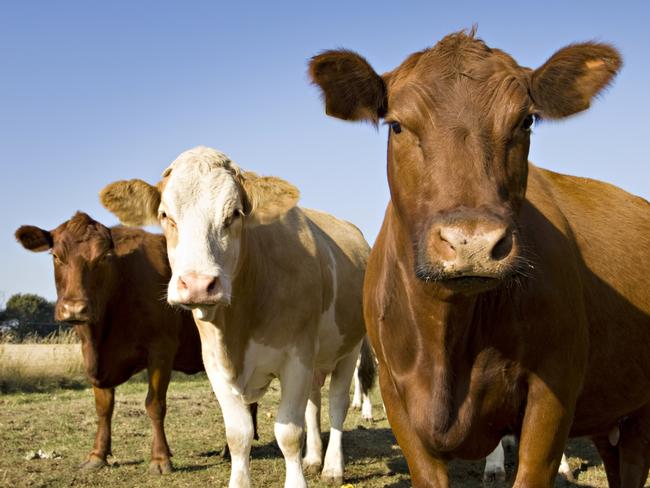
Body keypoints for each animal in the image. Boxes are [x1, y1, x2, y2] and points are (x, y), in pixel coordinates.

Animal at [15, 213, 256, 472]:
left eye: (103, 258)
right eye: (56, 256)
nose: (74, 308)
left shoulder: (161, 350)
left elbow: (155, 404)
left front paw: (160, 458)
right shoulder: (96, 359)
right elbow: (103, 407)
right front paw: (97, 455)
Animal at [98, 147, 368, 486]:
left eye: (235, 214)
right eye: (165, 215)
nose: (198, 284)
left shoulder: (297, 358)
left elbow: (289, 433)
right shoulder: (215, 364)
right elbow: (239, 435)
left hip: (349, 348)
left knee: (336, 404)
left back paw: (332, 467)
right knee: (314, 403)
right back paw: (313, 459)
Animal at [308, 31, 648, 488]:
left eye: (526, 122)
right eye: (397, 124)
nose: (472, 243)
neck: (447, 339)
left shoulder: (553, 393)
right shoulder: (399, 403)